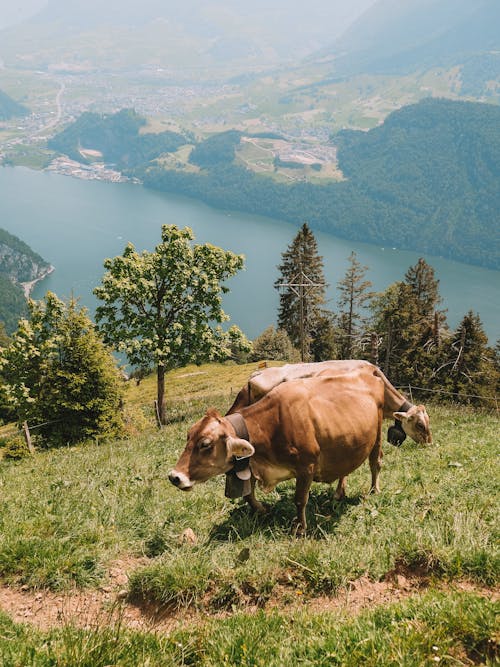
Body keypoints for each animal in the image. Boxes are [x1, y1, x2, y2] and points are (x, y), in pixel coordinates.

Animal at [170, 374, 384, 536]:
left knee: (375, 463)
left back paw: (374, 490)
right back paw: (339, 492)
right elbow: (248, 495)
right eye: (188, 436)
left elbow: (300, 499)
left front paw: (300, 528)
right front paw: (263, 510)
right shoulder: (249, 462)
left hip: (378, 434)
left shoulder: (306, 466)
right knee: (344, 468)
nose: (174, 477)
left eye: (205, 444)